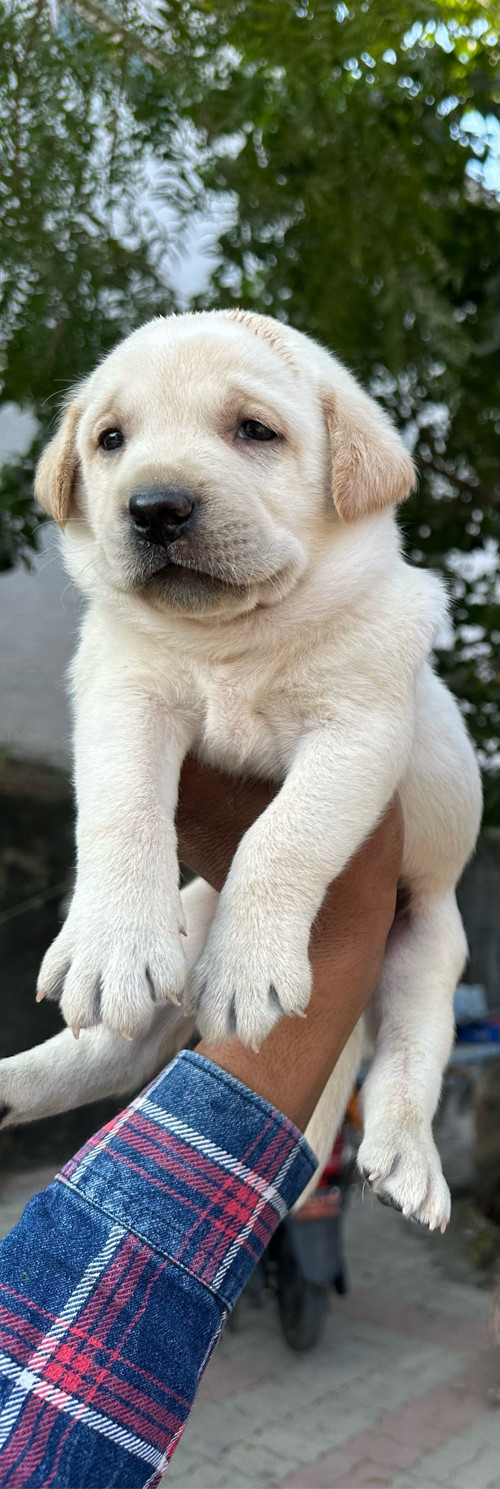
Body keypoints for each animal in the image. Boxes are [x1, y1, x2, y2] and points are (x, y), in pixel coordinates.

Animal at [0, 308, 479, 1226]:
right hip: (184, 920)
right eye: (110, 439)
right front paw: (109, 940)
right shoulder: (121, 693)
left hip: (431, 943)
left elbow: (284, 838)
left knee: (410, 1058)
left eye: (254, 430)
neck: (235, 638)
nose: (154, 506)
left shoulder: (356, 731)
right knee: (114, 1054)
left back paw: (411, 1161)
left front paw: (250, 966)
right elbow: (120, 806)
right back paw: (9, 1084)